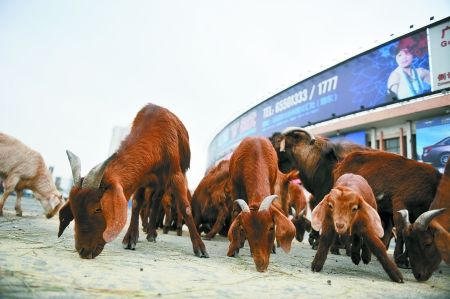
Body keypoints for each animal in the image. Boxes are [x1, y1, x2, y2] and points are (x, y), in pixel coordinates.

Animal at [56, 104, 209, 258]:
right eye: (73, 208)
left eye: (98, 209)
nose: (82, 250)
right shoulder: (141, 178)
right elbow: (136, 203)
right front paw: (130, 238)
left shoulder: (176, 175)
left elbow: (186, 208)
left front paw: (200, 247)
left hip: (164, 183)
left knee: (156, 201)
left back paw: (152, 234)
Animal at [225, 137, 296, 274]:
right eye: (244, 229)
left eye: (271, 227)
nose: (260, 266)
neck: (255, 153)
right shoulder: (235, 185)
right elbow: (236, 211)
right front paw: (234, 248)